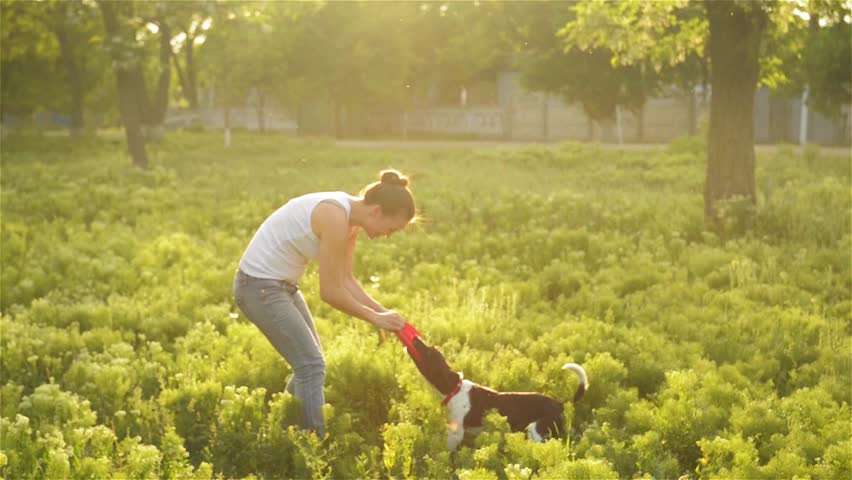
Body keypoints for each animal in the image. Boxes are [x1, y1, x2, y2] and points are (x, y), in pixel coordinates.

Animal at [398, 324, 584, 452]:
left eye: (429, 353)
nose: (415, 339)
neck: (454, 389)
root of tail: (560, 404)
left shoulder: (456, 434)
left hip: (536, 431)